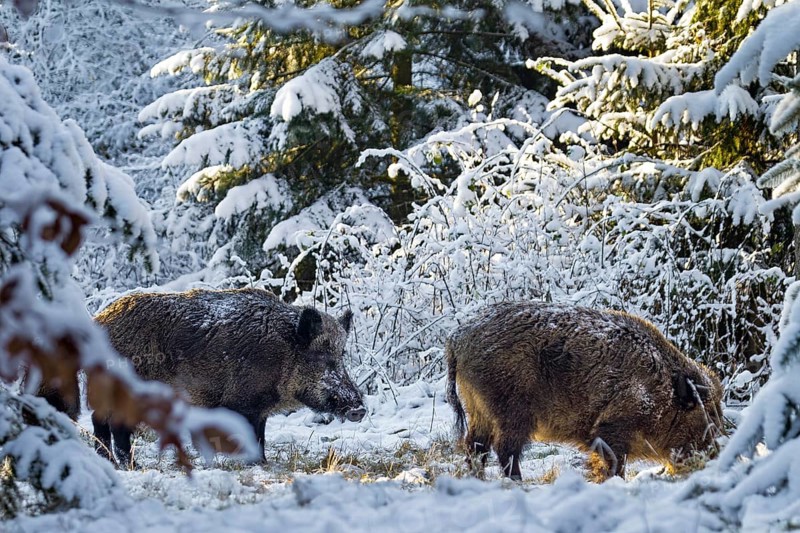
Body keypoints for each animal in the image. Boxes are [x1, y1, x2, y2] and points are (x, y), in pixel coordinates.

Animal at [92, 287, 365, 467]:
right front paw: (255, 464)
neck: (283, 353)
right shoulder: (244, 403)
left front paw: (262, 463)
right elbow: (252, 436)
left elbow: (261, 436)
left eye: (341, 354)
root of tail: (100, 319)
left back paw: (109, 461)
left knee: (100, 421)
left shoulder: (260, 409)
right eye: (318, 355)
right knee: (116, 426)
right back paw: (131, 465)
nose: (359, 409)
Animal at [446, 301, 724, 481]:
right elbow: (614, 462)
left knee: (475, 446)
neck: (660, 392)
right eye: (705, 414)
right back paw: (516, 483)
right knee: (504, 449)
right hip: (511, 410)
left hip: (478, 410)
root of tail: (458, 338)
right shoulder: (613, 427)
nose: (714, 457)